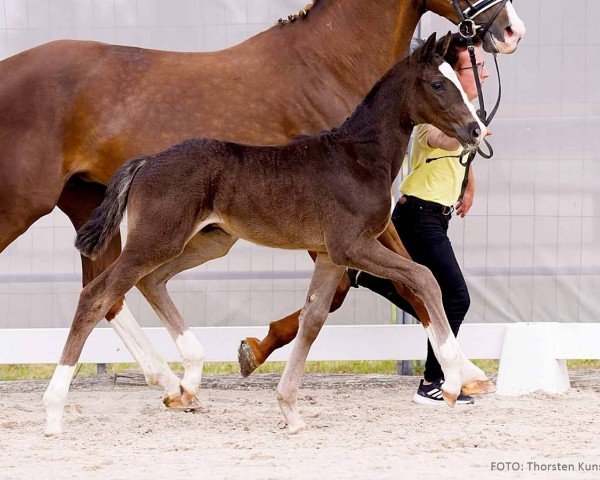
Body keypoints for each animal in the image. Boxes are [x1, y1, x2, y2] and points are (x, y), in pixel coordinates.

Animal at [1, 0, 520, 404]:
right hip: (51, 211)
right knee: (103, 291)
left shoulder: (335, 249)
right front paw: (461, 377)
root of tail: (147, 161)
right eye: (438, 84)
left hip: (147, 222)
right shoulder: (351, 241)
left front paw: (254, 352)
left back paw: (176, 383)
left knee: (120, 287)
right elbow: (418, 279)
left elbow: (333, 301)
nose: (512, 29)